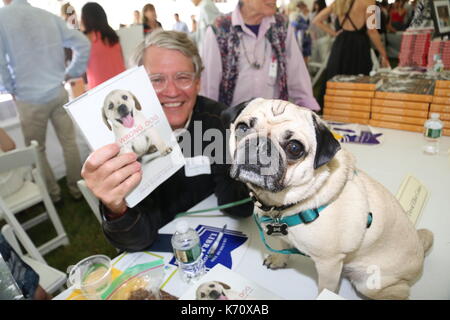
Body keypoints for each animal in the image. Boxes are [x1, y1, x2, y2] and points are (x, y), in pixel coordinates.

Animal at [224, 98, 432, 300]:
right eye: (242, 128)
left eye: (294, 148)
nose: (260, 144)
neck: (282, 204)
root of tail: (420, 254)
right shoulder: (284, 236)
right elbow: (283, 244)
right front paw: (279, 259)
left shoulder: (329, 263)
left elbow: (326, 287)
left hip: (370, 283)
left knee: (399, 291)